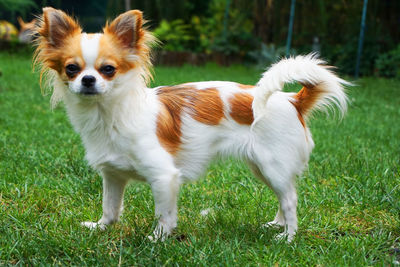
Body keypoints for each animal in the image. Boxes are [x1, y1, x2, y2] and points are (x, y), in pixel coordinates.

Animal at [34, 7, 350, 243]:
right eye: (71, 69)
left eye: (108, 69)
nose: (88, 80)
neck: (109, 113)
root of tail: (292, 100)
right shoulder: (113, 176)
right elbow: (111, 209)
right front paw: (100, 228)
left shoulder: (164, 177)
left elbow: (164, 215)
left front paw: (156, 240)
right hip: (263, 168)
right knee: (284, 198)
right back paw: (276, 226)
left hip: (273, 165)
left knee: (290, 200)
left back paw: (288, 238)